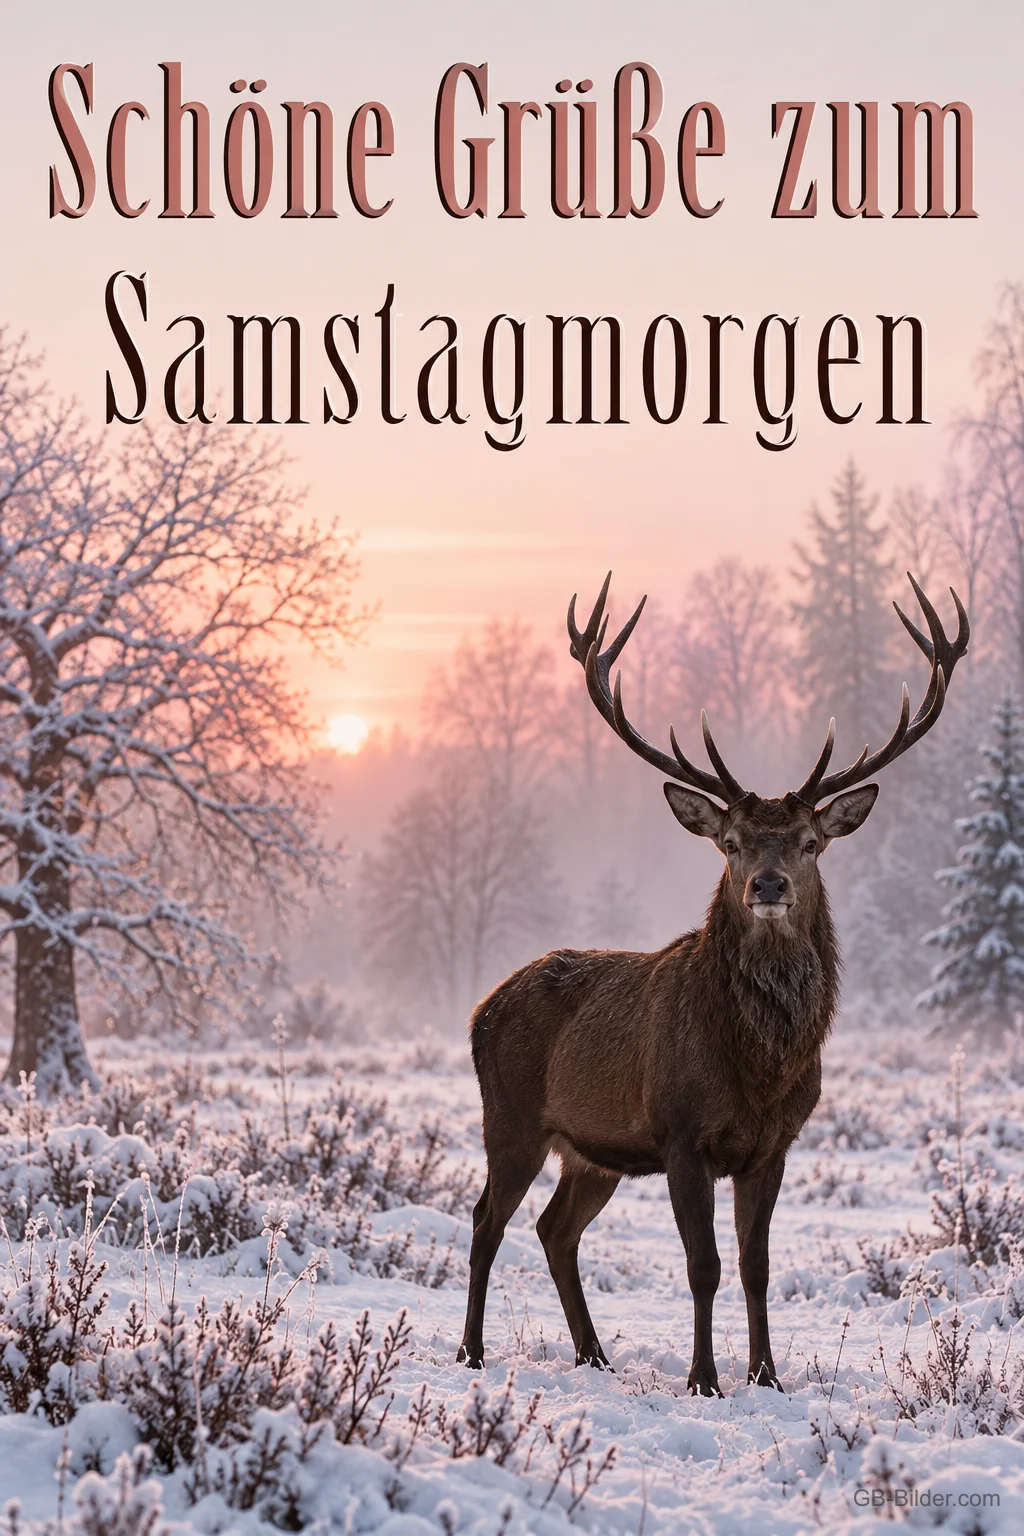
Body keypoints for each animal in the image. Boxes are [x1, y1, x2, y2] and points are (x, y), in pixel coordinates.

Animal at [457, 572, 969, 1395]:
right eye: (729, 841)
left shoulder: (774, 1145)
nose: (767, 884)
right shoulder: (680, 1133)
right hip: (511, 1118)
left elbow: (756, 1266)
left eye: (810, 841)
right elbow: (704, 1266)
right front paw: (704, 1379)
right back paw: (471, 1351)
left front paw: (766, 1375)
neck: (759, 1067)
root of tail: (480, 1009)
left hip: (591, 1151)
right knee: (485, 1221)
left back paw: (593, 1355)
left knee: (554, 1228)